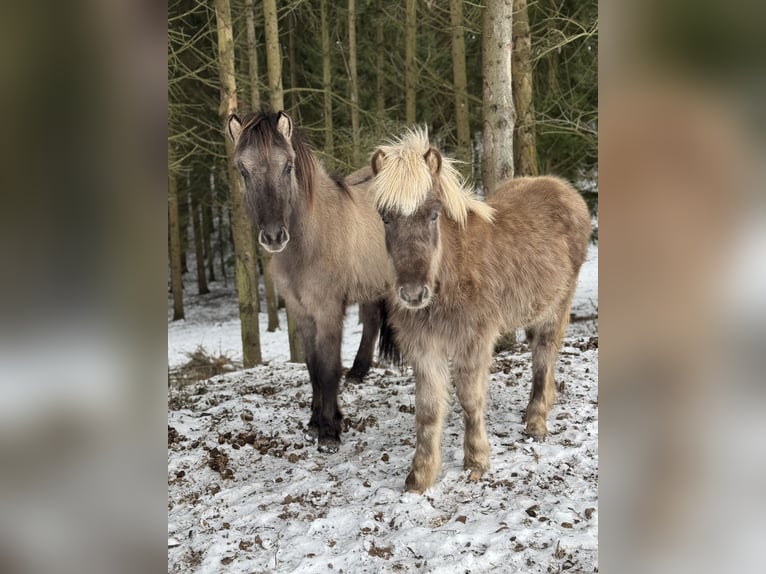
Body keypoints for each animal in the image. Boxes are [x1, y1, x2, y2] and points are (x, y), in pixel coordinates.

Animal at [227, 110, 393, 453]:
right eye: (243, 170)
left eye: (288, 166)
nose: (274, 236)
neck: (312, 239)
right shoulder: (300, 311)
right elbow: (313, 367)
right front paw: (316, 423)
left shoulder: (327, 310)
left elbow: (328, 369)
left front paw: (330, 432)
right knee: (372, 319)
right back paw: (358, 371)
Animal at [370, 128, 591, 492]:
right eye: (385, 217)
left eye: (433, 214)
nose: (413, 294)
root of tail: (563, 189)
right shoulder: (424, 346)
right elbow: (427, 410)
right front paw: (420, 476)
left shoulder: (473, 341)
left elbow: (470, 399)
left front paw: (476, 461)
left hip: (558, 305)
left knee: (544, 356)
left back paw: (536, 422)